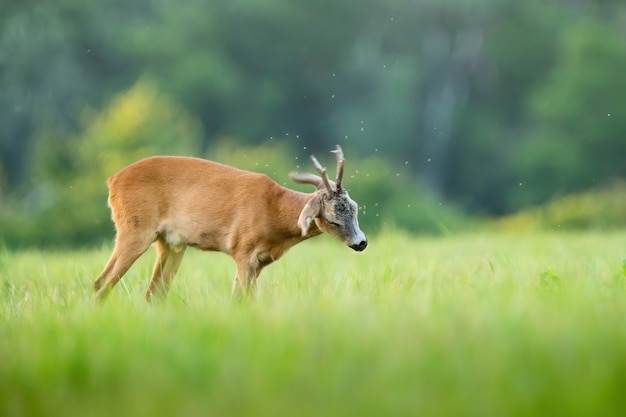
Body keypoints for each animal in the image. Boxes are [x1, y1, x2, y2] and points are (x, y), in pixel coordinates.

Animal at [92, 145, 366, 300]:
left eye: (354, 208)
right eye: (332, 219)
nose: (361, 243)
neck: (275, 212)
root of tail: (112, 182)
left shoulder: (260, 261)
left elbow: (242, 298)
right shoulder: (243, 249)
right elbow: (243, 299)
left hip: (171, 244)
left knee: (154, 293)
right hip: (135, 229)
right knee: (102, 283)